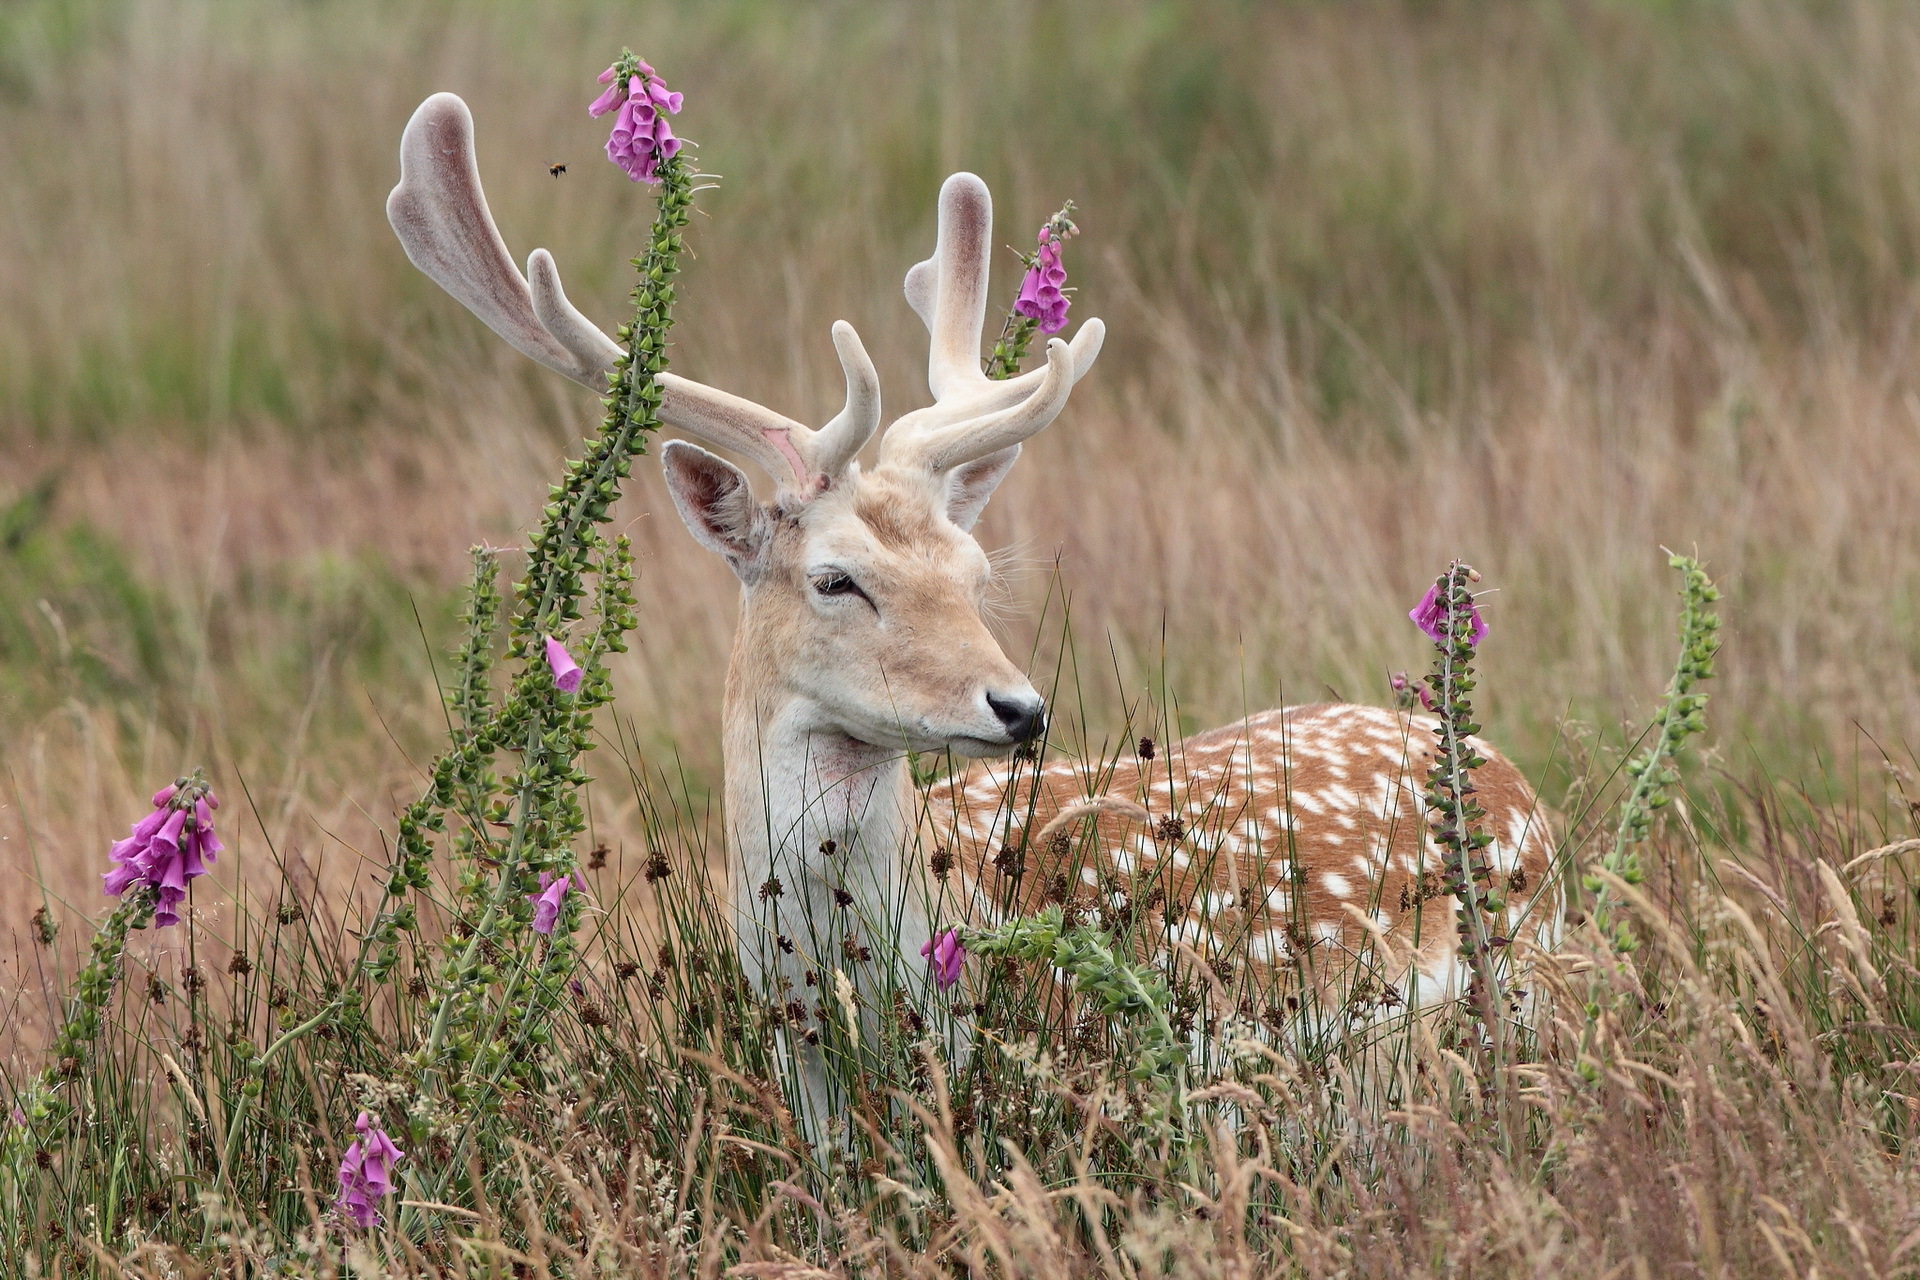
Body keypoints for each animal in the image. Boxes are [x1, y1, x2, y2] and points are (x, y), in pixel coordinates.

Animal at [385, 94, 1559, 1105]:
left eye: (974, 571)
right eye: (835, 577)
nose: (1020, 708)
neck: (855, 975)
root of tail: (1501, 769)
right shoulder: (792, 1050)